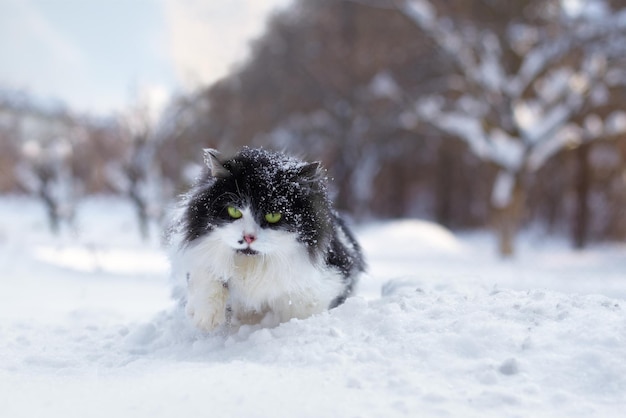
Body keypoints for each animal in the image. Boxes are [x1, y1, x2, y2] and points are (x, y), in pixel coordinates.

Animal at [169, 148, 366, 334]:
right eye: (234, 211)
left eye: (273, 215)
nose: (248, 237)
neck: (252, 267)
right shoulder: (200, 255)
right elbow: (209, 275)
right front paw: (205, 319)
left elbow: (299, 308)